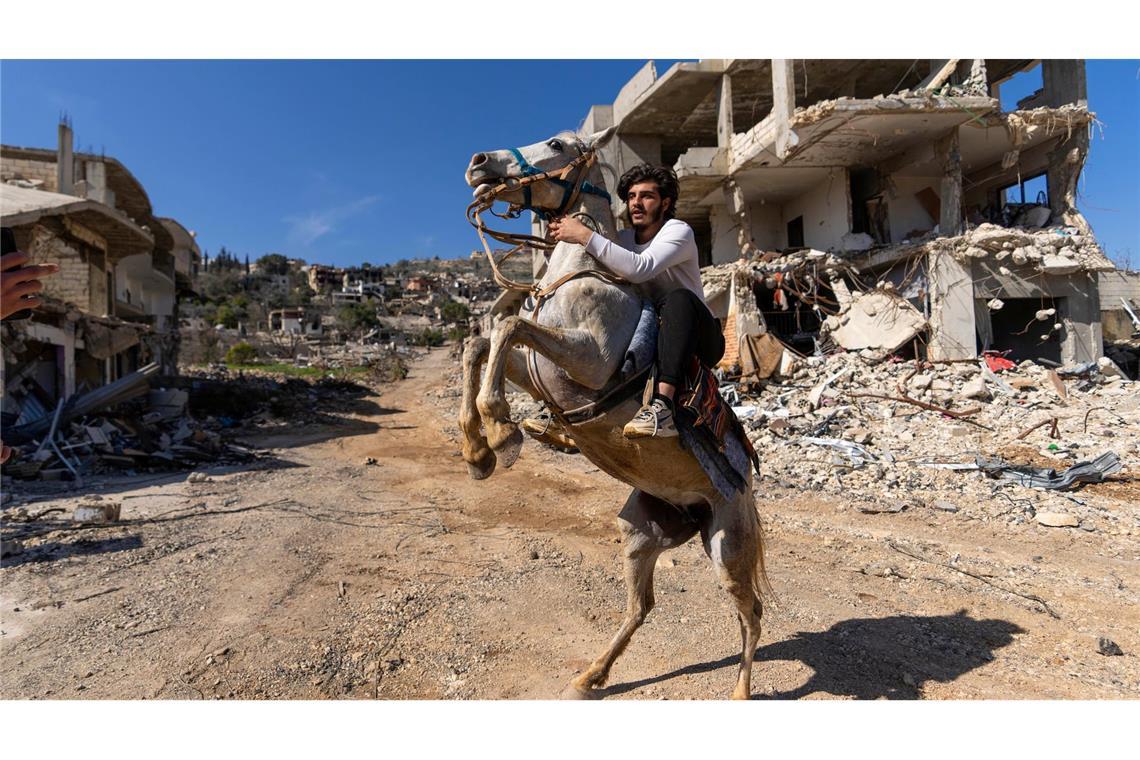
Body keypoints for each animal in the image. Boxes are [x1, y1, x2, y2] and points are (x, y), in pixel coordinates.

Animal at [458, 126, 770, 701]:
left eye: (557, 144)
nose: (478, 162)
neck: (581, 275)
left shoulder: (591, 358)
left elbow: (507, 327)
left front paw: (501, 433)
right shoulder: (539, 366)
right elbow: (480, 344)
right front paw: (478, 451)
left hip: (727, 549)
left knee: (751, 613)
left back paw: (739, 693)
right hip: (641, 534)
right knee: (641, 606)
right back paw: (590, 676)